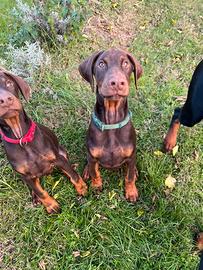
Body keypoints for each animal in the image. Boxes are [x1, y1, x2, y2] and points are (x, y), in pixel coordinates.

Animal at [0, 67, 87, 213]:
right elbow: (40, 191)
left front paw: (82, 188)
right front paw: (51, 205)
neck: (22, 139)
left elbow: (73, 176)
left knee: (67, 167)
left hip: (62, 152)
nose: (6, 100)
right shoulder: (25, 176)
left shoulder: (57, 159)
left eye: (8, 83)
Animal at [78, 48, 142, 201]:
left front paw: (131, 192)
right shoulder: (93, 156)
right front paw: (96, 186)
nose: (117, 82)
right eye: (101, 64)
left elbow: (129, 177)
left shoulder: (131, 155)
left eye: (125, 63)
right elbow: (95, 173)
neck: (112, 123)